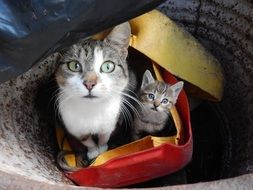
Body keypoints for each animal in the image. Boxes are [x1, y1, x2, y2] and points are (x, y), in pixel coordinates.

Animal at [55, 23, 130, 161]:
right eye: (74, 65)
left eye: (108, 66)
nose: (89, 83)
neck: (92, 110)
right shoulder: (74, 126)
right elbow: (86, 140)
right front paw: (93, 150)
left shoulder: (110, 120)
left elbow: (104, 136)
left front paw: (102, 148)